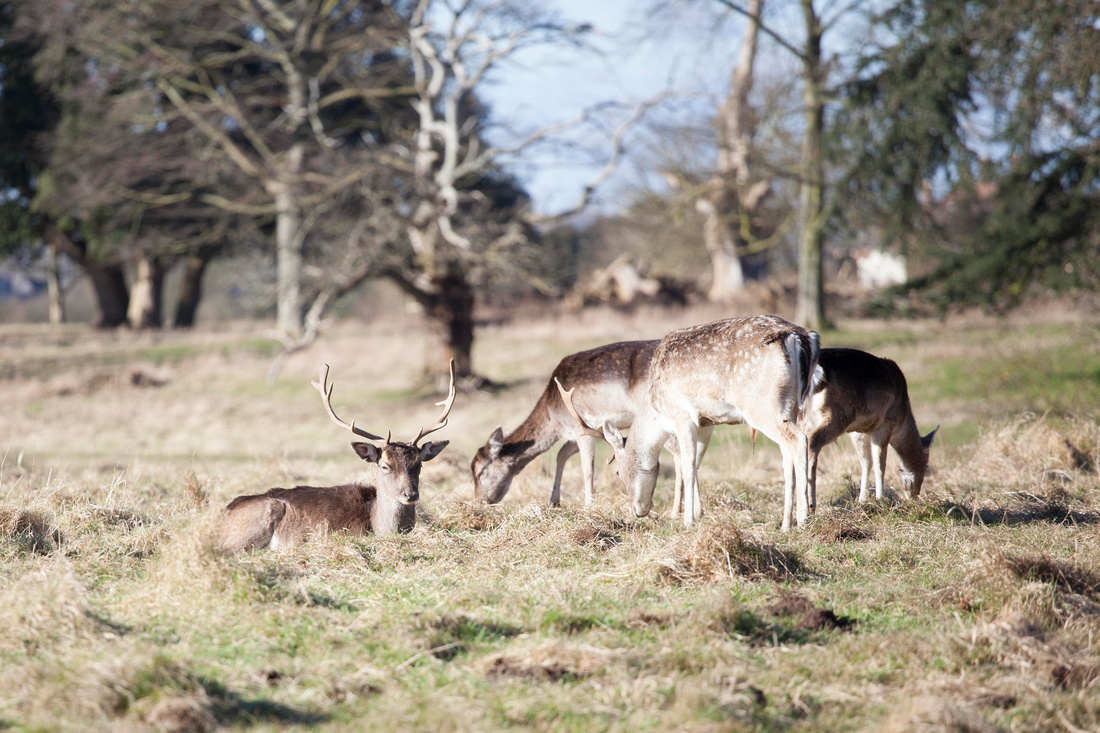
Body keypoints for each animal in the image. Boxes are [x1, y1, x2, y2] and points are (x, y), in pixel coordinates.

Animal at [470, 338, 695, 508]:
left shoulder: (581, 427)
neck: (554, 416)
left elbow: (587, 468)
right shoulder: (580, 431)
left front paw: (588, 505)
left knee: (679, 453)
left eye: (480, 472)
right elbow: (561, 455)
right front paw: (554, 501)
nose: (480, 500)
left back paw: (677, 512)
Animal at [563, 310, 822, 528]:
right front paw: (697, 514)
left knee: (799, 440)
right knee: (786, 453)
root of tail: (800, 337)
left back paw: (803, 519)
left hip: (761, 404)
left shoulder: (681, 416)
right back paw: (785, 523)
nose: (638, 511)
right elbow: (697, 464)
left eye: (619, 472)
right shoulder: (706, 423)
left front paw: (688, 521)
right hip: (790, 405)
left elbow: (687, 466)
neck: (655, 411)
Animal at [800, 347, 937, 508]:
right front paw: (880, 499)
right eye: (926, 465)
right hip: (836, 415)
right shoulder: (885, 424)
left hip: (803, 418)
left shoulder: (858, 431)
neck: (903, 417)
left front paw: (862, 500)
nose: (915, 495)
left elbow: (866, 462)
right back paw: (810, 504)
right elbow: (880, 463)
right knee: (812, 441)